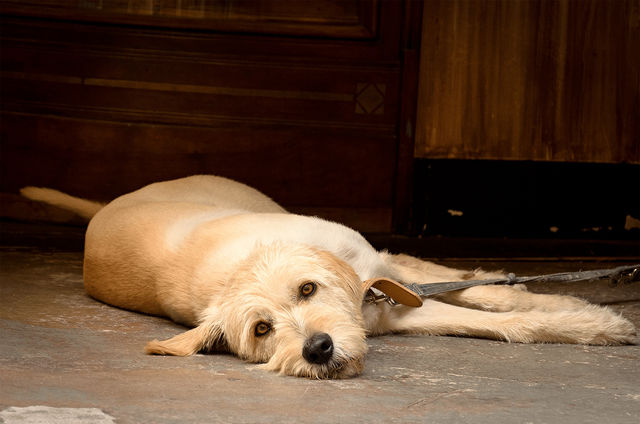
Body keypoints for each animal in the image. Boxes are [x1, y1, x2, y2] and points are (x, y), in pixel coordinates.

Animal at [22, 174, 636, 380]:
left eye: (307, 290)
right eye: (262, 329)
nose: (317, 349)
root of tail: (107, 207)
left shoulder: (386, 280)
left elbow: (490, 299)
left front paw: (588, 318)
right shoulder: (396, 312)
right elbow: (488, 320)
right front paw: (585, 322)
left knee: (440, 268)